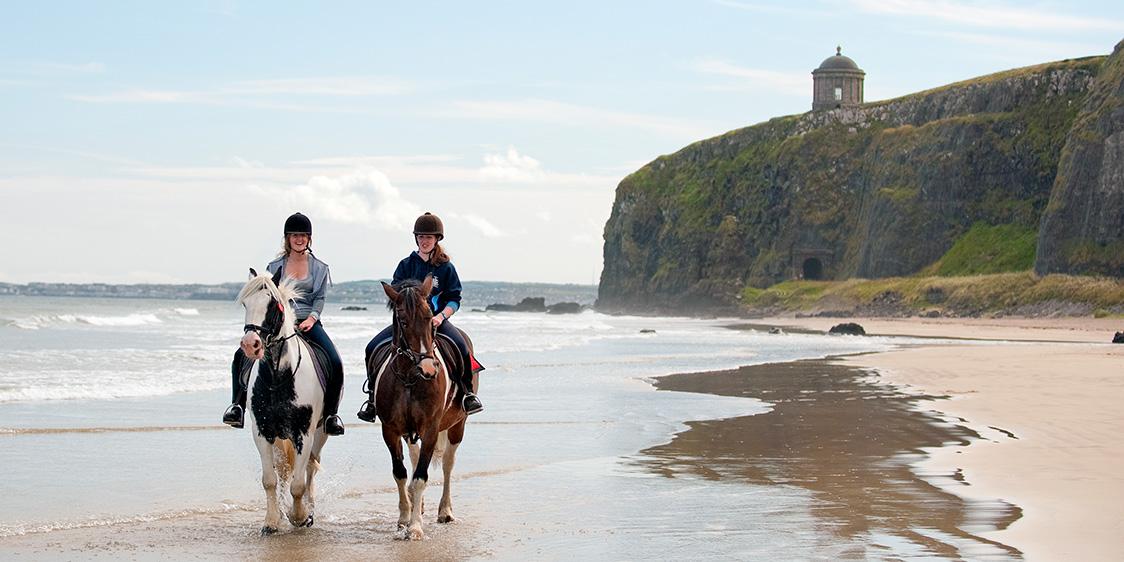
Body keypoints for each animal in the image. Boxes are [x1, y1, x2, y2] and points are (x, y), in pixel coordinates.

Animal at [234, 267, 328, 535]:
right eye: (245, 303)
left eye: (273, 305)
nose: (250, 345)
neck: (278, 376)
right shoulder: (263, 431)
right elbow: (270, 480)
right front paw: (272, 521)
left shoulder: (304, 433)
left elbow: (299, 483)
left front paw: (299, 516)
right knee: (286, 471)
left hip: (320, 433)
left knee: (310, 469)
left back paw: (309, 510)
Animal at [368, 276, 474, 539]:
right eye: (403, 321)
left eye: (429, 318)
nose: (429, 369)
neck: (409, 377)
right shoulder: (391, 430)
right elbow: (401, 473)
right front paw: (405, 518)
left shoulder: (431, 429)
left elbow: (421, 477)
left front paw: (415, 527)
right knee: (415, 459)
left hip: (458, 425)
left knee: (448, 464)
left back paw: (445, 511)